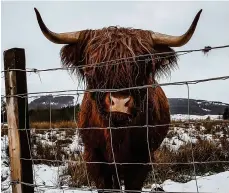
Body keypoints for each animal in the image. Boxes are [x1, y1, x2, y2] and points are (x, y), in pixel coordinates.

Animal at [34, 8, 202, 192]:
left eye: (143, 65)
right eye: (93, 66)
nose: (120, 102)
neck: (117, 134)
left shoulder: (142, 159)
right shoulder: (94, 157)